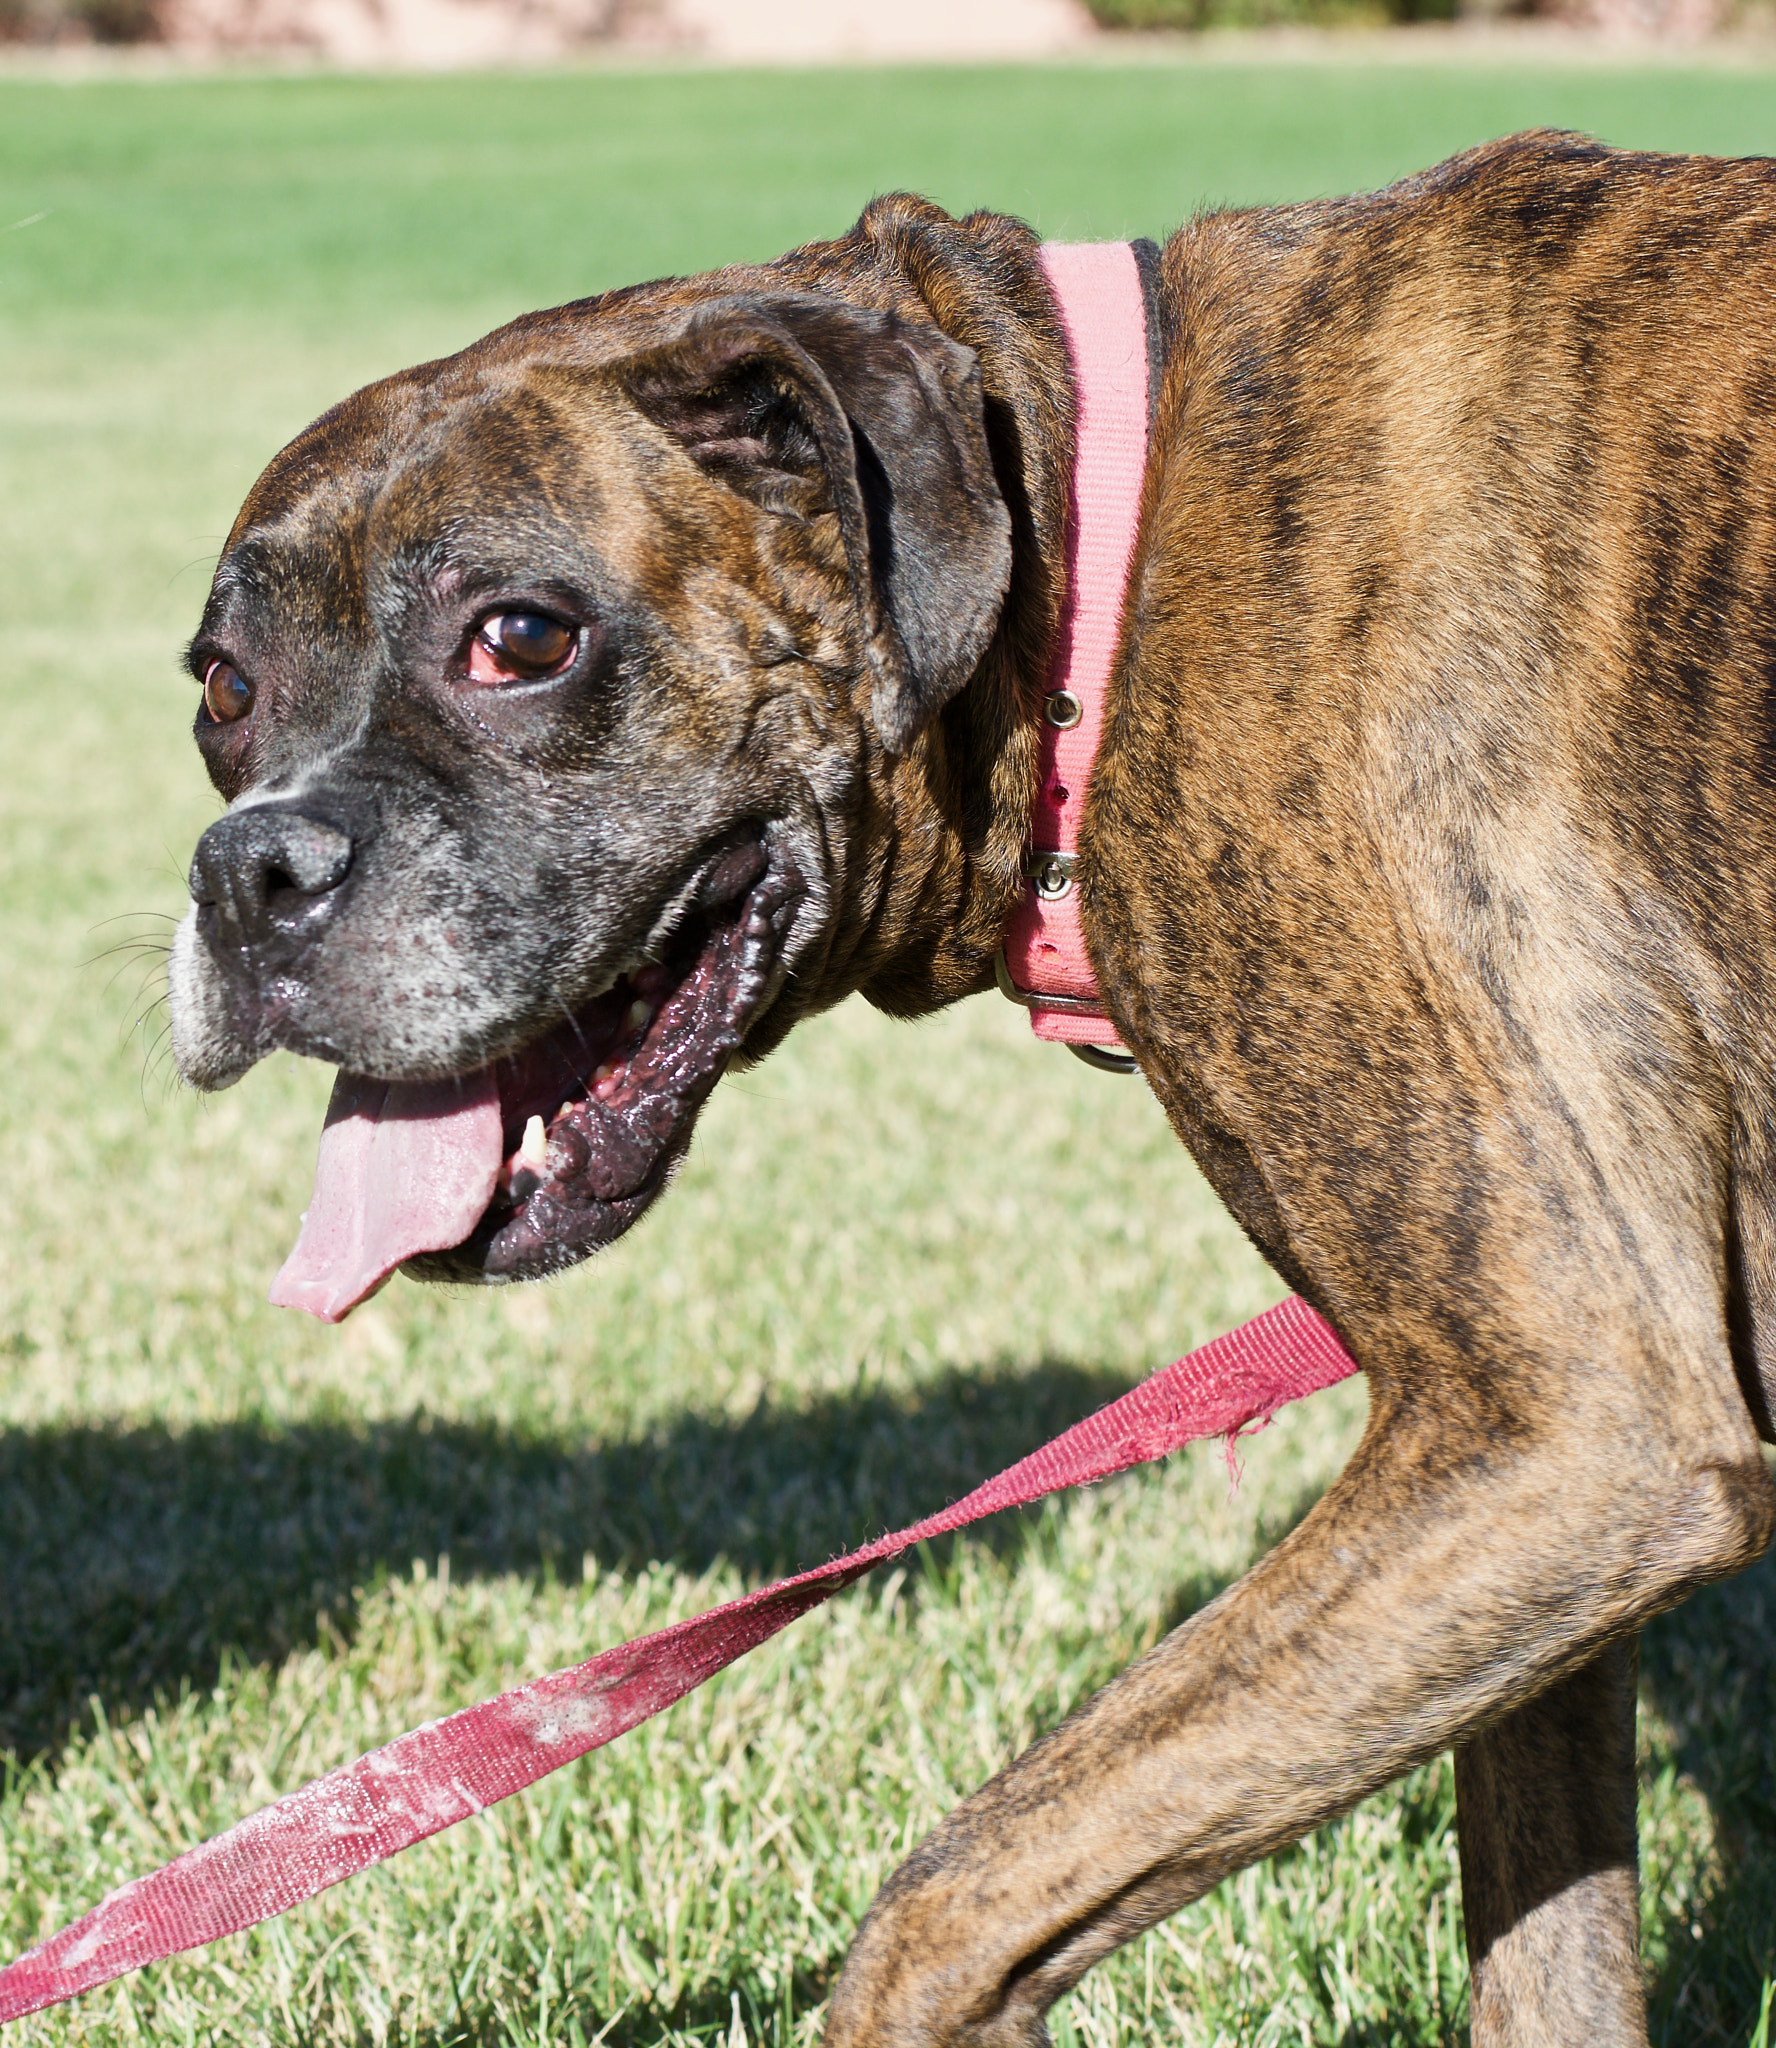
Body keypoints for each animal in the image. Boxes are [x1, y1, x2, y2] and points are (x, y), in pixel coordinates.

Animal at [162, 136, 1776, 2039]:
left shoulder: (1569, 1429)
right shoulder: (1535, 1509)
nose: (248, 874)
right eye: (221, 690)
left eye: (519, 639)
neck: (1113, 549)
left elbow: (961, 1887)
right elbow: (1548, 1952)